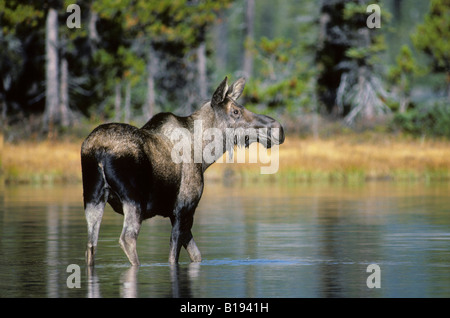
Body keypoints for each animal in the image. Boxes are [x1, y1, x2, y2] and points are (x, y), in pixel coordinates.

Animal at [81, 77, 284, 266]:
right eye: (235, 111)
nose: (278, 128)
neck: (204, 156)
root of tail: (99, 150)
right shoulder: (183, 208)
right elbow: (174, 257)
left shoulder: (176, 213)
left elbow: (196, 255)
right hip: (134, 200)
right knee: (127, 239)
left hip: (93, 198)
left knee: (90, 246)